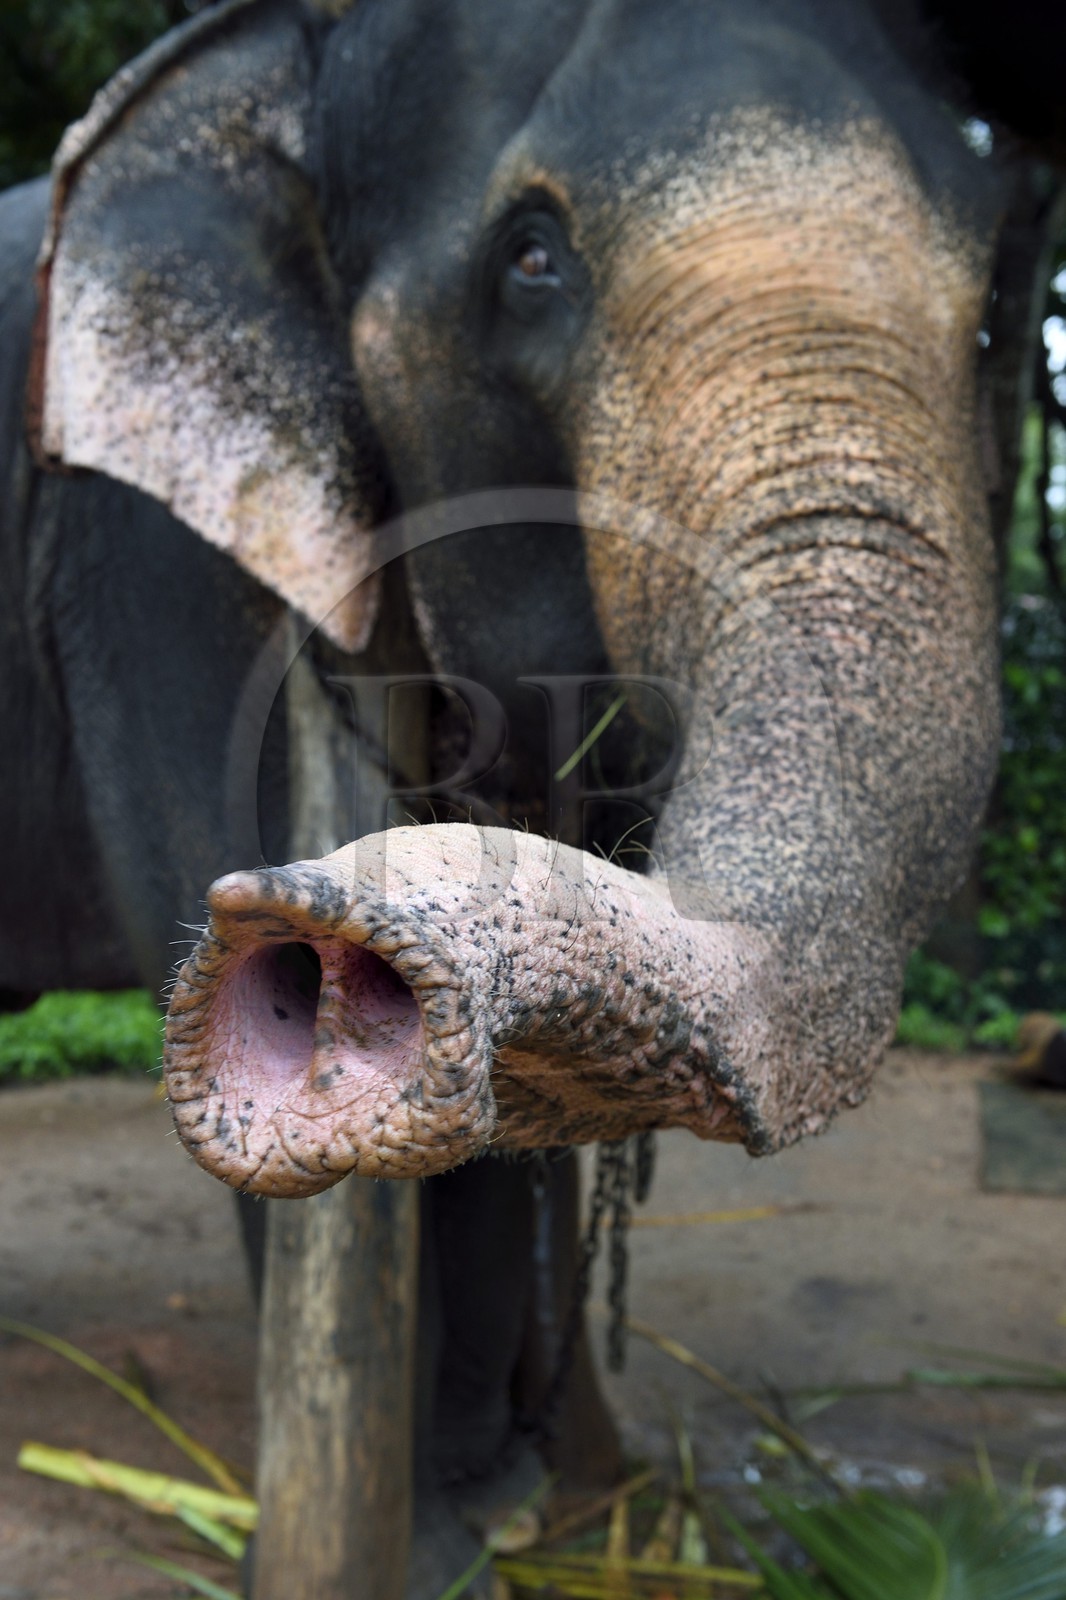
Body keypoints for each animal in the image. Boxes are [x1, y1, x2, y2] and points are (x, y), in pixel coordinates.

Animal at [3, 0, 1065, 1593]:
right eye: (530, 258)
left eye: (1001, 280)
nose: (294, 917)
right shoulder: (152, 568)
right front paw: (437, 1541)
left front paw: (539, 1502)